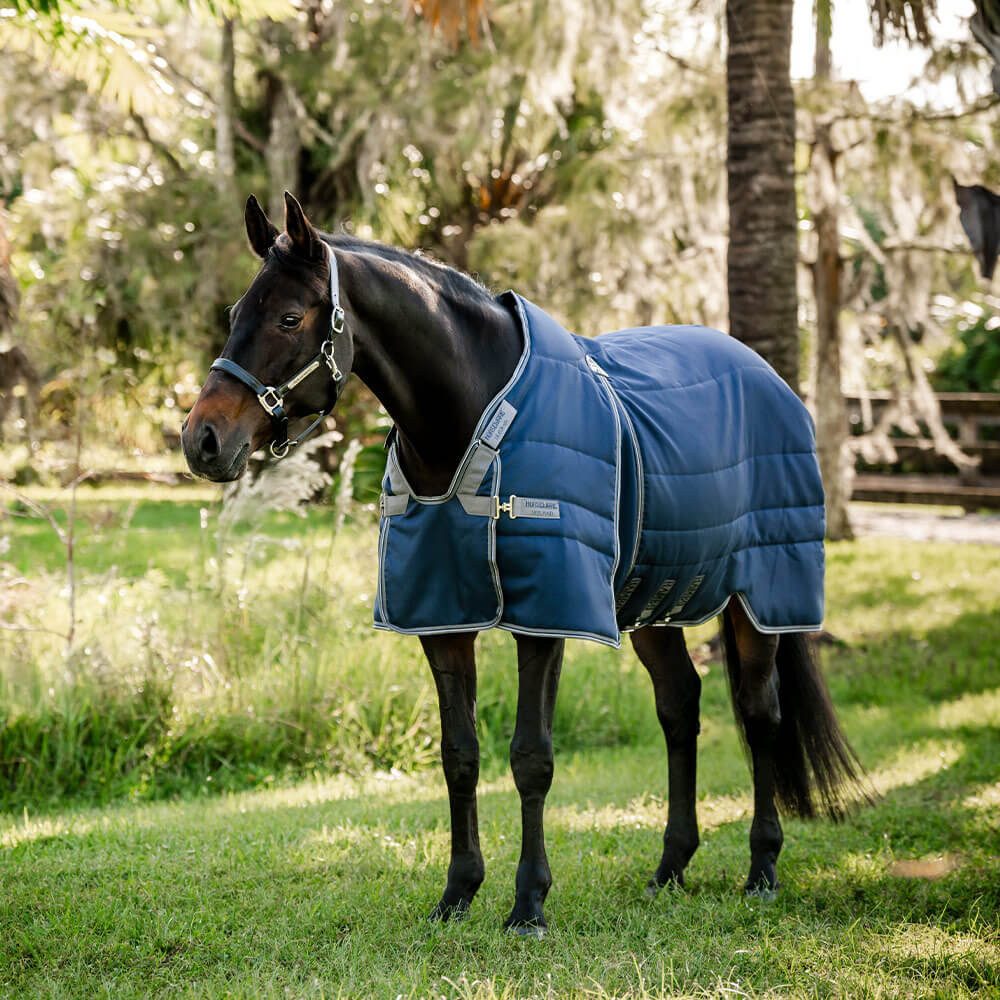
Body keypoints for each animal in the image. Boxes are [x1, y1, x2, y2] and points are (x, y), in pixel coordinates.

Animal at [182, 192, 866, 936]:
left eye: (288, 317)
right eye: (234, 315)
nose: (202, 439)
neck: (470, 417)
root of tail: (771, 378)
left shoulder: (547, 616)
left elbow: (531, 758)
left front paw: (528, 904)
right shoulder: (441, 619)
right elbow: (459, 756)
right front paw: (457, 893)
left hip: (761, 596)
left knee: (760, 712)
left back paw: (762, 869)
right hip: (656, 601)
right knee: (680, 707)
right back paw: (669, 868)